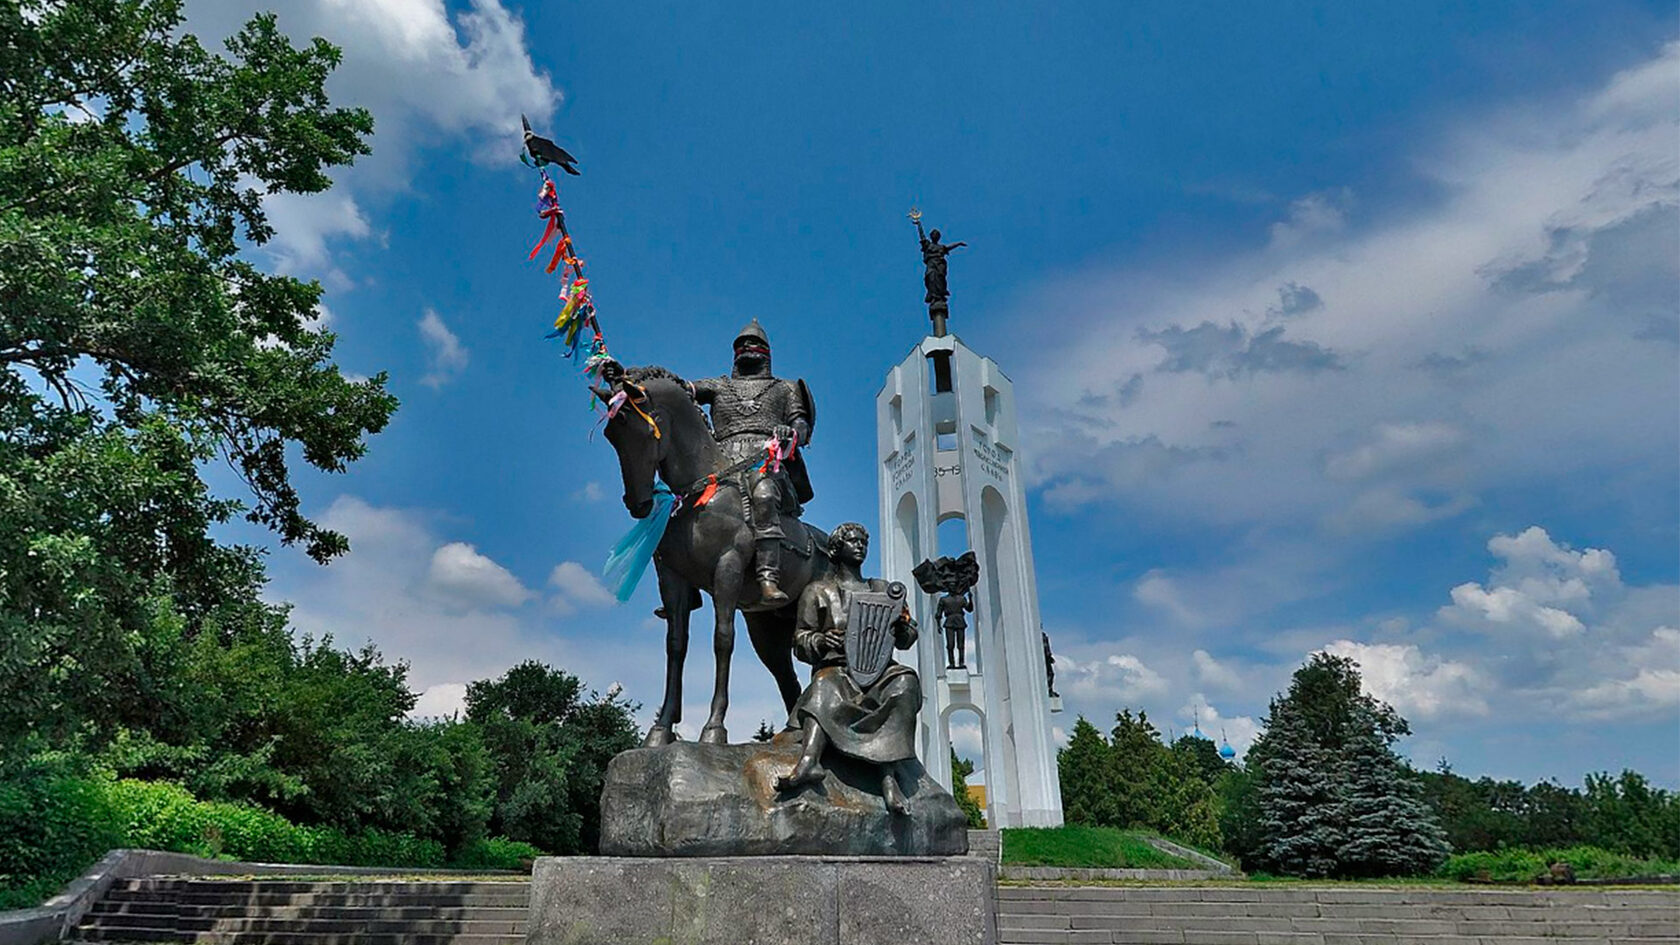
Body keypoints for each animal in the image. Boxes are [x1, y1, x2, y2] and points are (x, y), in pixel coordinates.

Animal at [594, 366, 829, 743]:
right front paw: (662, 728)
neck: (703, 491)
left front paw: (713, 728)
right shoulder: (673, 577)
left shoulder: (727, 570)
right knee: (783, 668)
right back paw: (794, 727)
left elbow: (723, 639)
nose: (637, 504)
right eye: (610, 435)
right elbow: (676, 644)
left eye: (641, 431)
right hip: (767, 625)